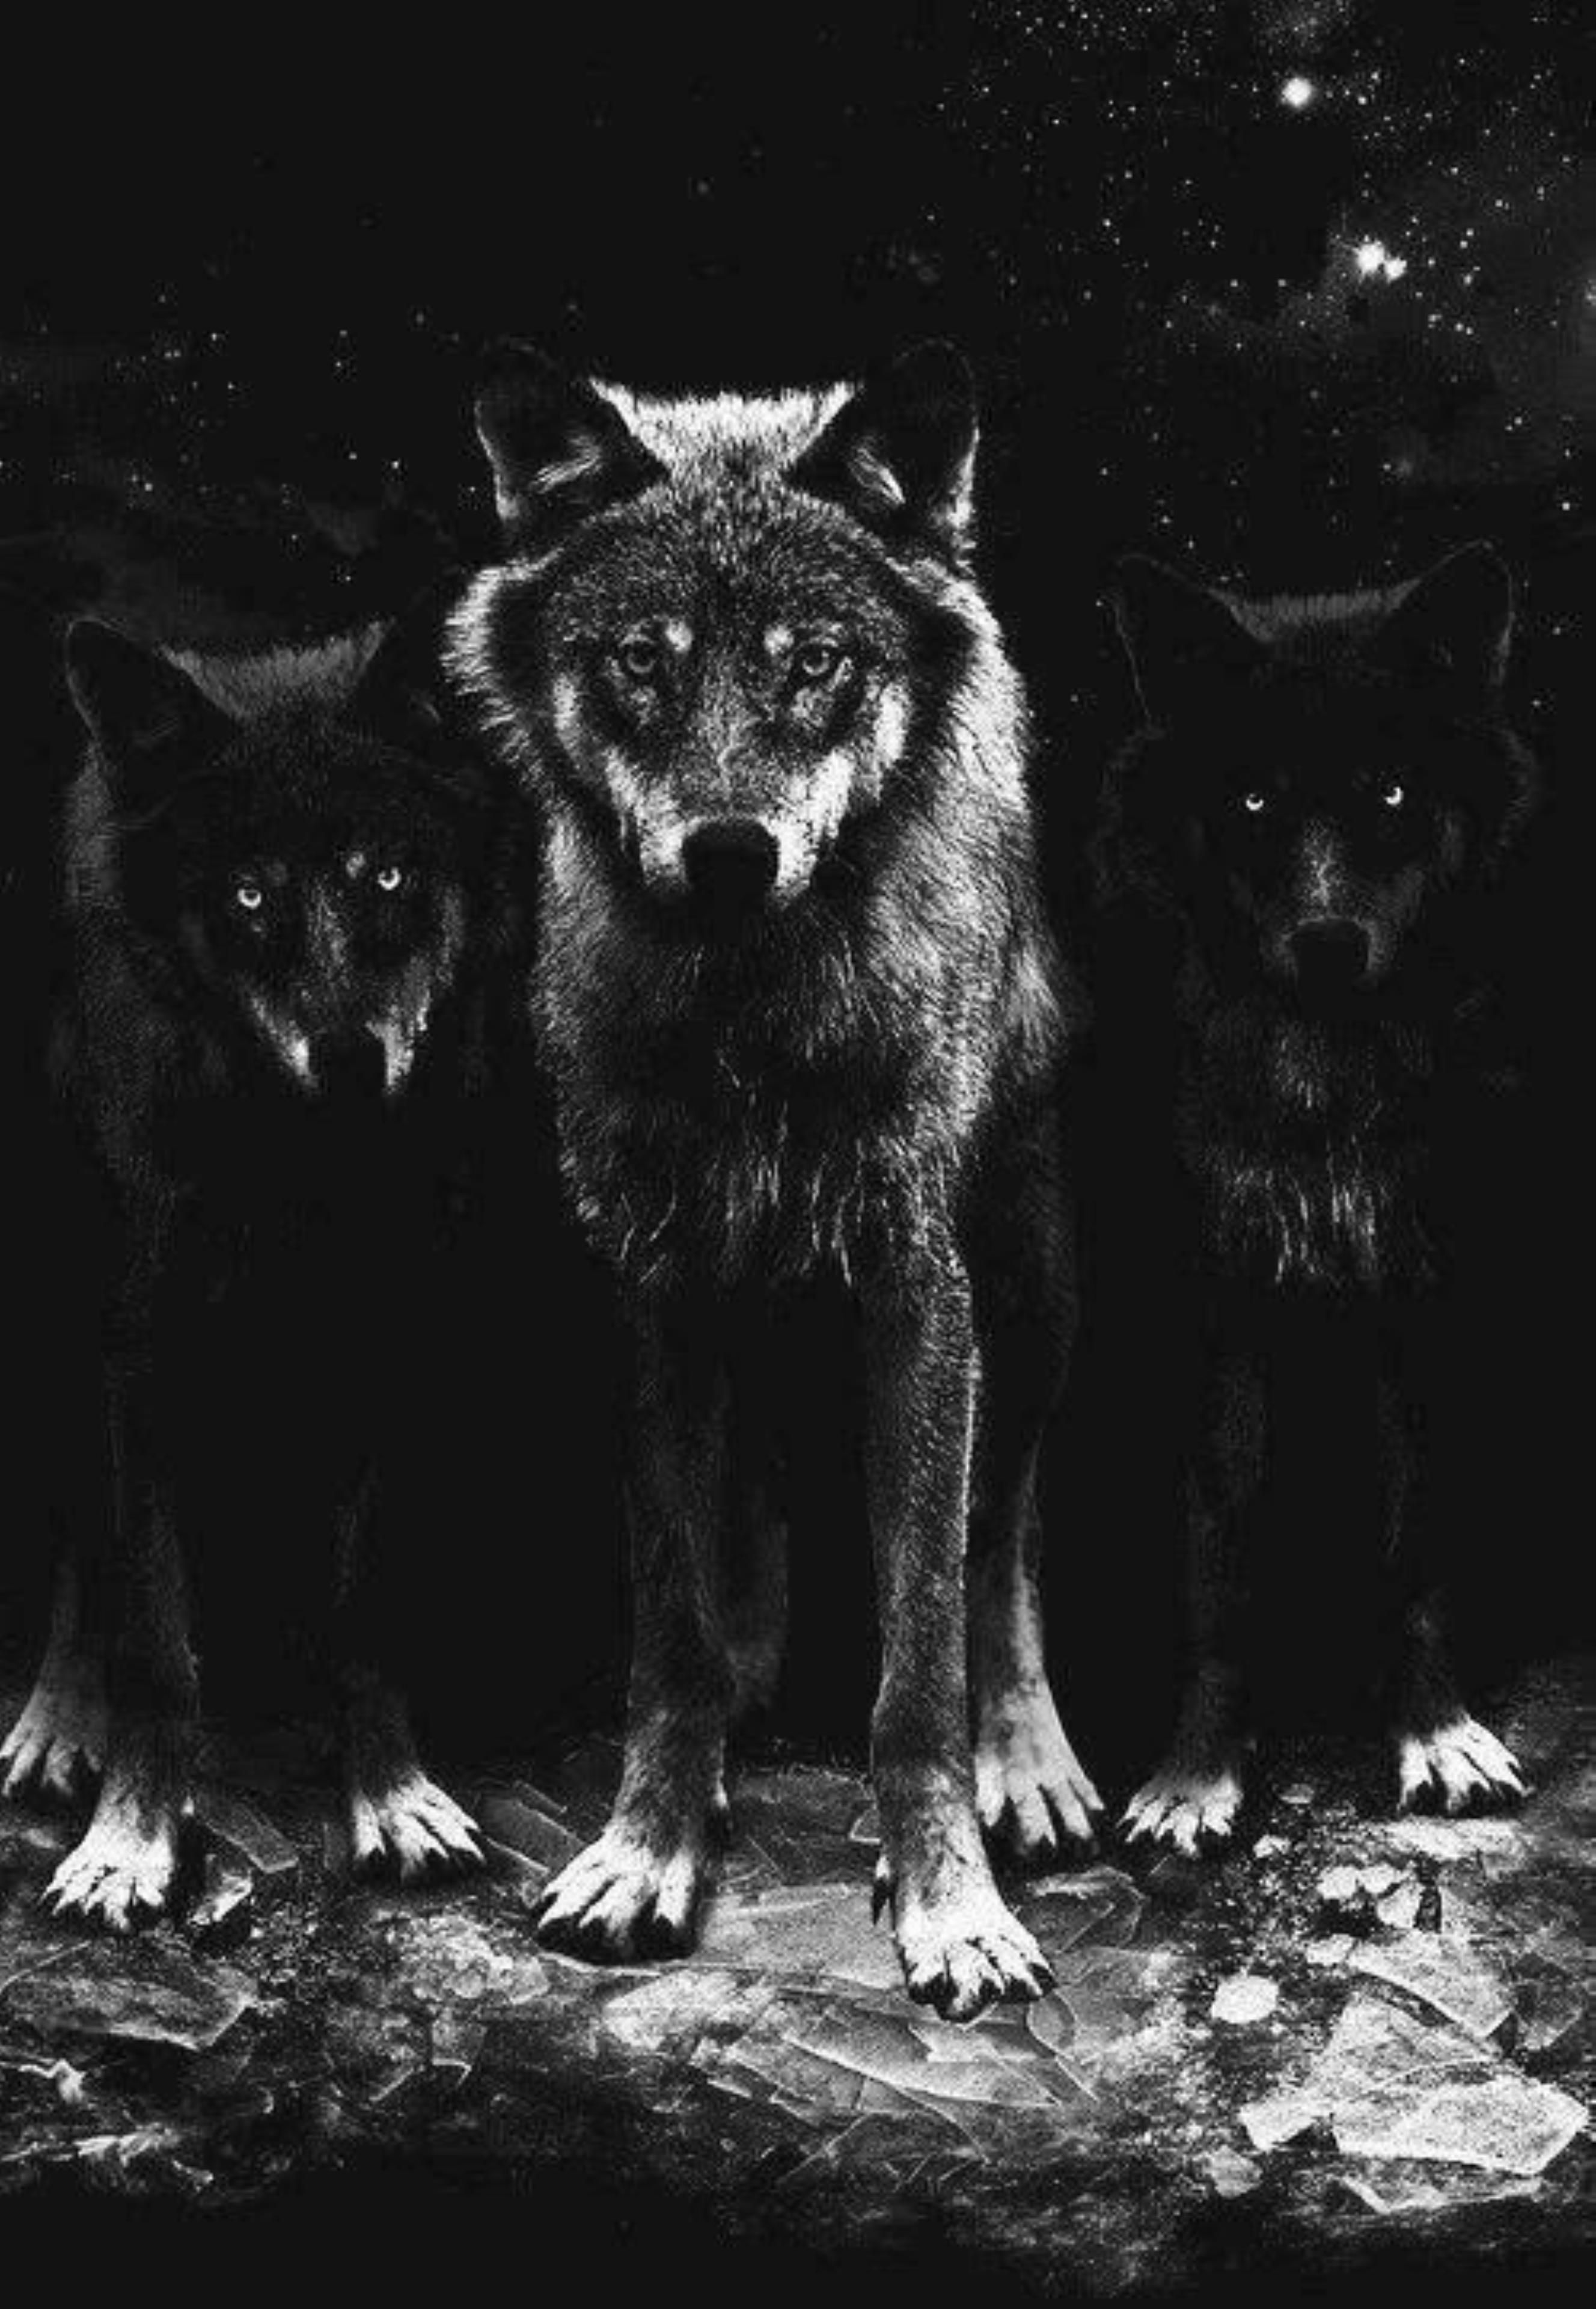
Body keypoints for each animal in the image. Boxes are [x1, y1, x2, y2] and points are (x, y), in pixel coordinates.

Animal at [2, 606, 518, 1925]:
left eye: (385, 875)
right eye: (246, 895)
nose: (347, 1058)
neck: (293, 1173)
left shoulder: (400, 1348)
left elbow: (367, 1611)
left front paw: (394, 1801)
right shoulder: (136, 1360)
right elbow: (153, 1642)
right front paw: (128, 1842)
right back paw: (53, 1724)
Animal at [449, 341, 1101, 2018]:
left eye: (814, 664)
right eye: (642, 660)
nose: (730, 848)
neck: (750, 1019)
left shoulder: (918, 1288)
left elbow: (921, 1643)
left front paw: (949, 1899)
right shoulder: (655, 1287)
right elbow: (671, 1627)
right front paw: (650, 1847)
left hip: (1031, 1277)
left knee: (1007, 1536)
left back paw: (1031, 1764)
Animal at [1097, 545, 1538, 1854]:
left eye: (1389, 793)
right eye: (1250, 804)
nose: (1328, 939)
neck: (1322, 1105)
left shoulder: (1425, 1303)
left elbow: (1415, 1549)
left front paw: (1435, 1736)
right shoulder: (1218, 1318)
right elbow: (1218, 1563)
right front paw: (1193, 1777)